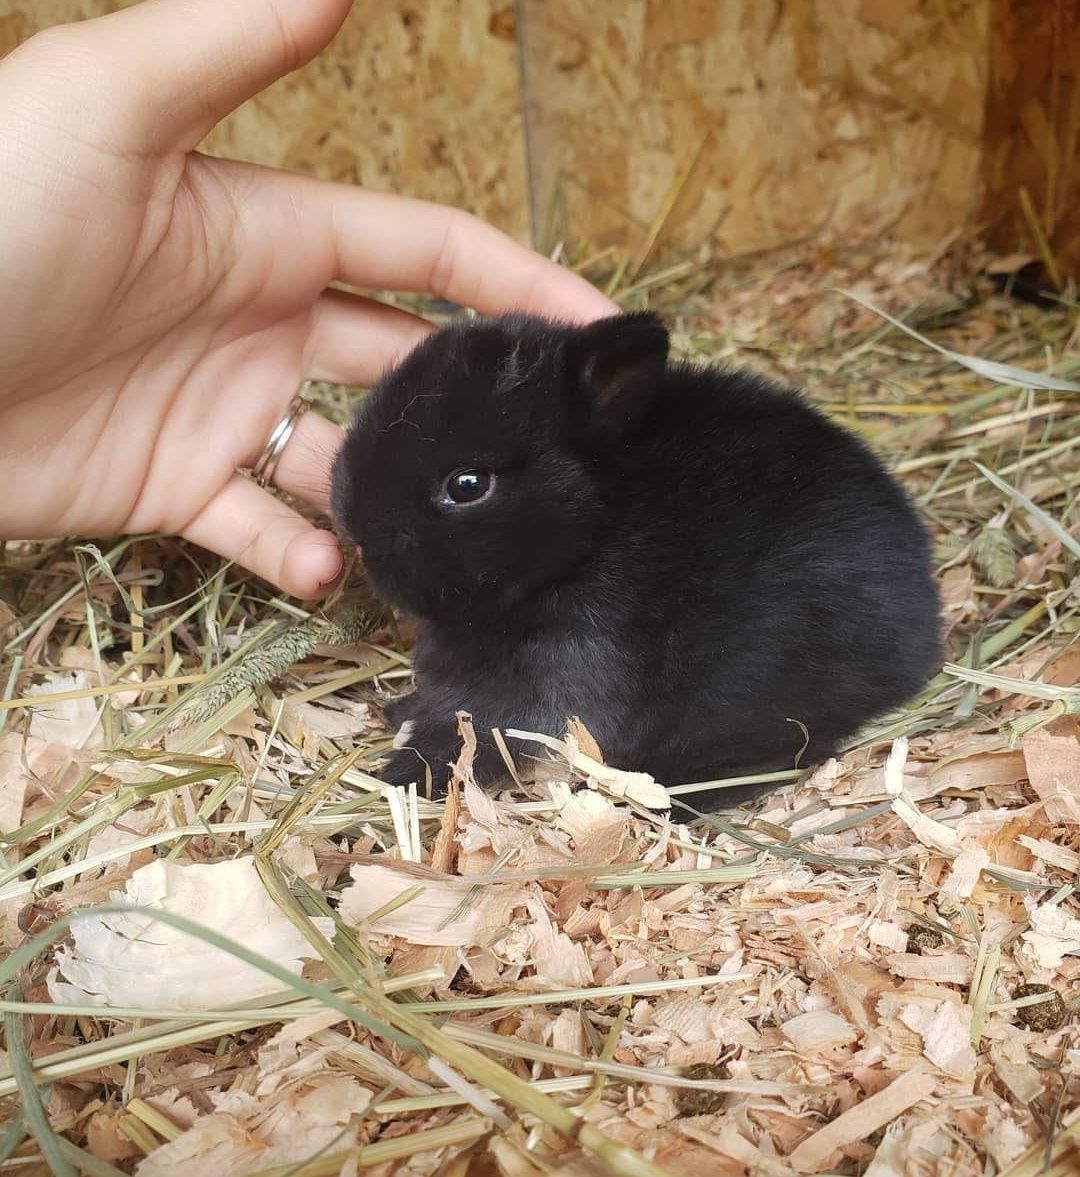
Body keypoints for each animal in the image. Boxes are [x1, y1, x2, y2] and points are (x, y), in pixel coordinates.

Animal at [329, 310, 936, 809]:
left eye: (468, 484)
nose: (355, 529)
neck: (587, 540)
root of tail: (924, 622)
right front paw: (399, 714)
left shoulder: (557, 675)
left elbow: (474, 732)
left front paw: (405, 774)